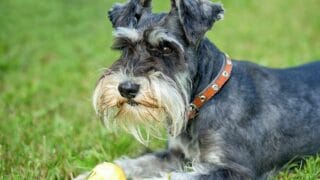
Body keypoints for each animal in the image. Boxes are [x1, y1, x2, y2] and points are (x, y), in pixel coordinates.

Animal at [85, 0, 320, 179]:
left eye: (166, 47)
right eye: (125, 46)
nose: (127, 88)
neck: (206, 97)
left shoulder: (235, 169)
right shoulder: (176, 156)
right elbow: (137, 163)